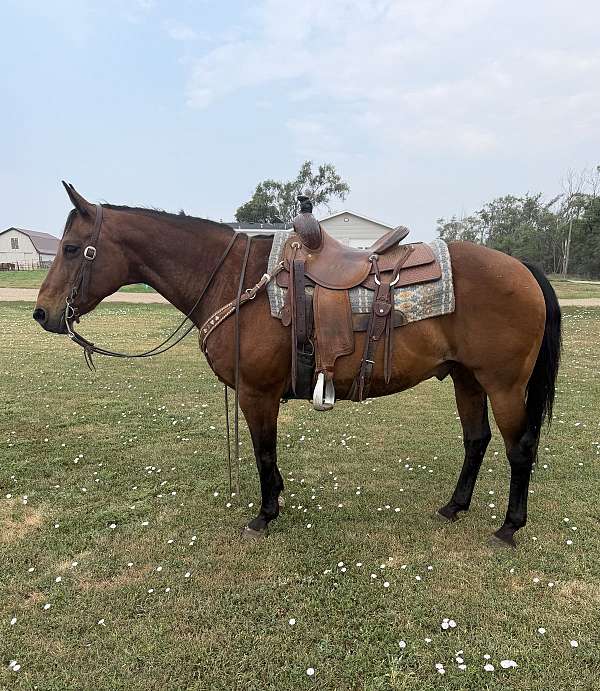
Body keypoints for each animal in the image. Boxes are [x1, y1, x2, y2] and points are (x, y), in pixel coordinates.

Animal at [34, 183, 561, 548]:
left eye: (70, 249)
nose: (42, 313)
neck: (232, 278)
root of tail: (523, 269)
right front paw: (277, 500)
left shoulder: (257, 393)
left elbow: (263, 452)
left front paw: (265, 513)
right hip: (466, 378)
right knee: (476, 441)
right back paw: (454, 507)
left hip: (503, 384)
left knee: (519, 449)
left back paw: (508, 528)